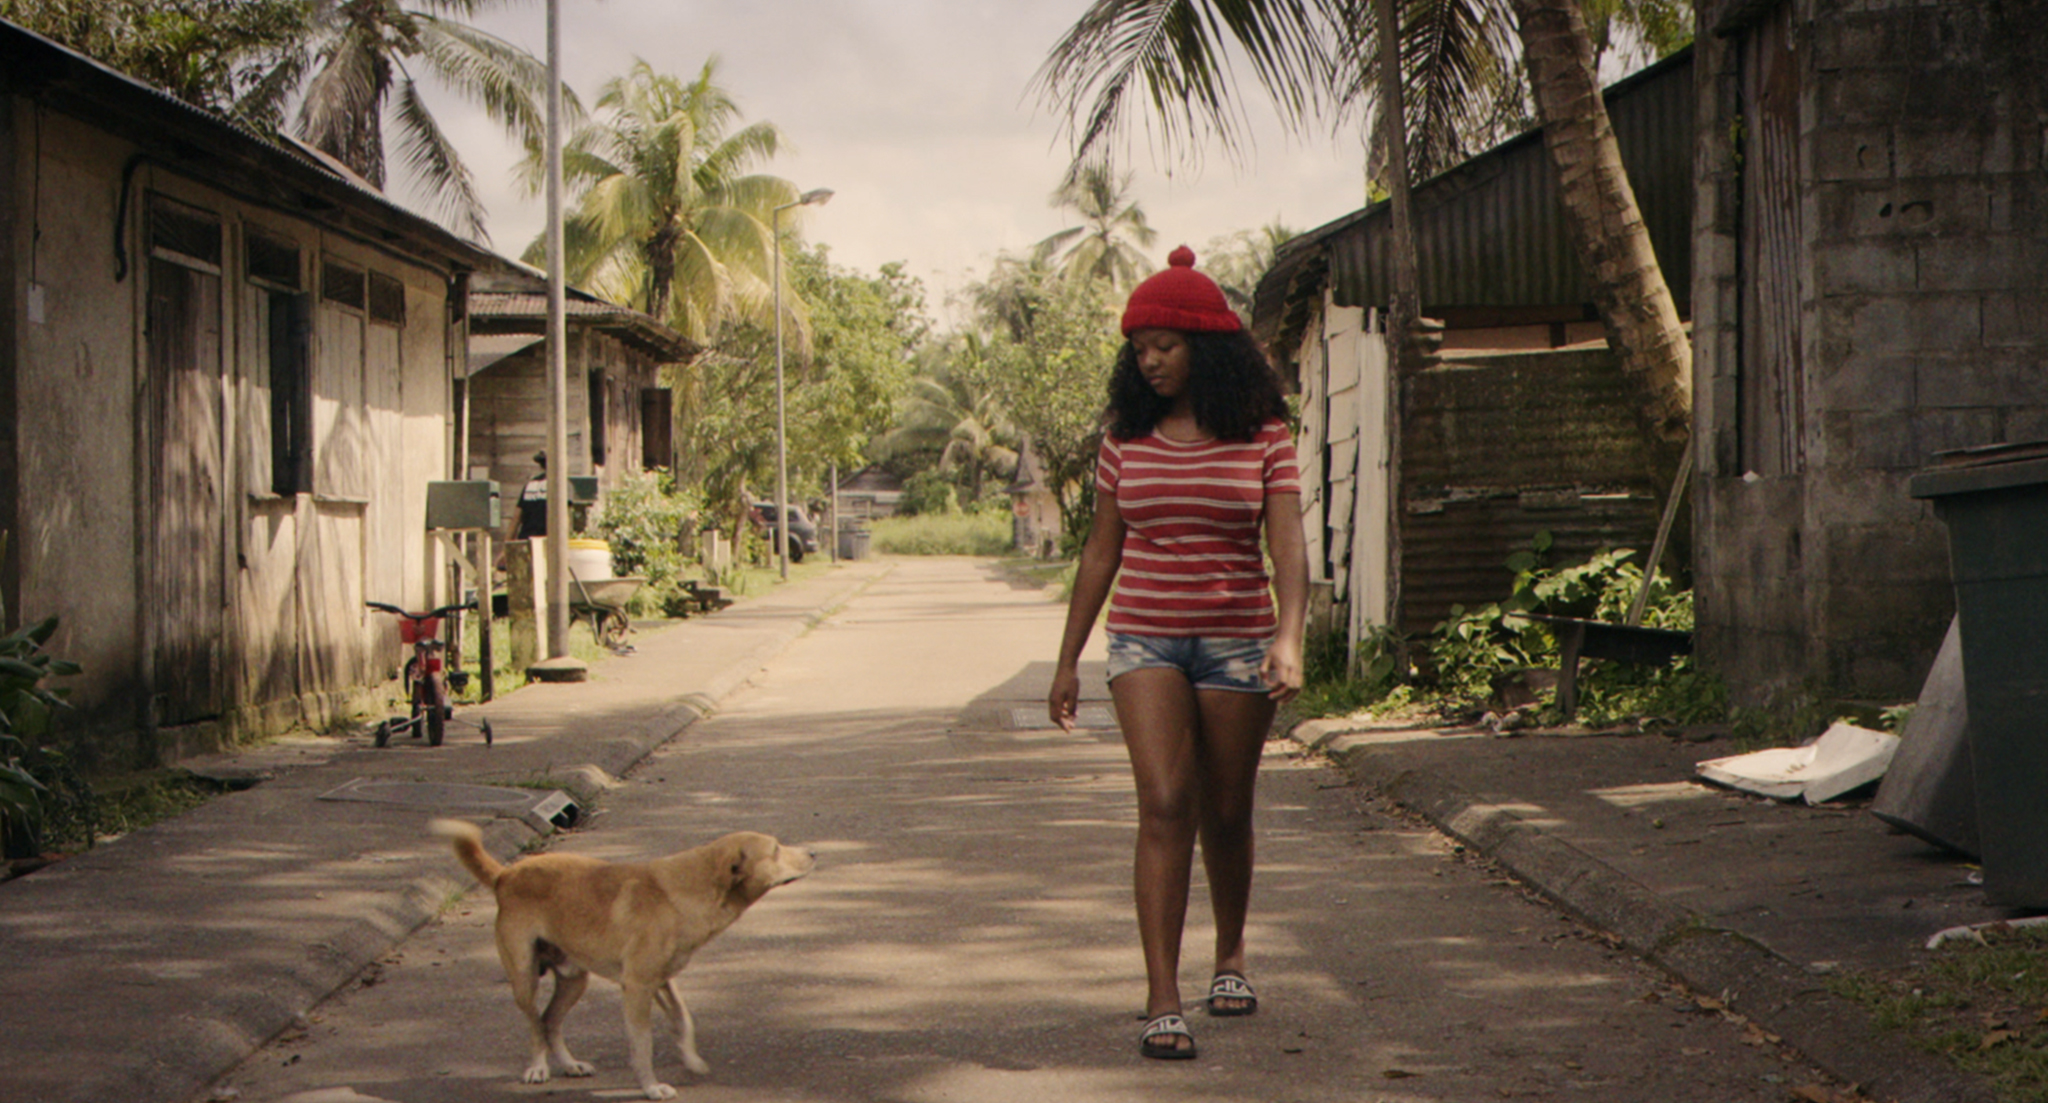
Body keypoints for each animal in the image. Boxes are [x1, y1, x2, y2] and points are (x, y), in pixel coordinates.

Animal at [432, 814, 815, 1096]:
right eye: (776, 850)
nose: (813, 853)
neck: (685, 890)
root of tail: (505, 874)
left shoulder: (662, 981)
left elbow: (683, 1019)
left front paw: (691, 1060)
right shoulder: (637, 987)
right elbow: (642, 1045)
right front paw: (651, 1088)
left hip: (574, 980)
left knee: (550, 1020)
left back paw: (570, 1065)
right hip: (524, 977)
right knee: (535, 1024)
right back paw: (538, 1067)